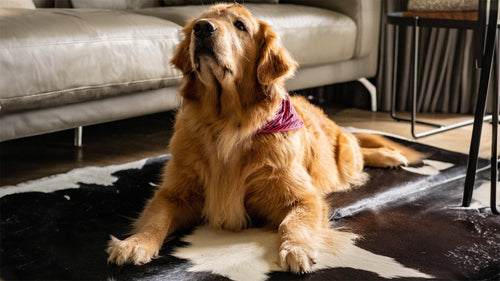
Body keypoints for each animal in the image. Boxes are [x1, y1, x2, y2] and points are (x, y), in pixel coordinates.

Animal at [107, 3, 424, 272]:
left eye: (240, 25)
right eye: (200, 19)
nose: (202, 28)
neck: (226, 124)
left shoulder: (303, 197)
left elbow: (293, 224)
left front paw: (296, 249)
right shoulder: (175, 192)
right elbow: (156, 218)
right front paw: (135, 243)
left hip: (345, 158)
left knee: (358, 149)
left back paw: (389, 155)